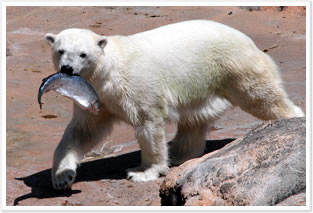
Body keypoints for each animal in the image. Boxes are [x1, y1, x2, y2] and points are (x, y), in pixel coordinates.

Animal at [45, 20, 304, 190]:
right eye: (61, 51)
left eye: (83, 54)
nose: (67, 69)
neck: (109, 72)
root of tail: (248, 40)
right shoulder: (97, 96)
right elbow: (83, 131)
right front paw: (62, 176)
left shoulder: (136, 86)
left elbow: (148, 123)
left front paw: (142, 172)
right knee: (194, 119)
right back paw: (181, 154)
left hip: (234, 66)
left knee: (261, 97)